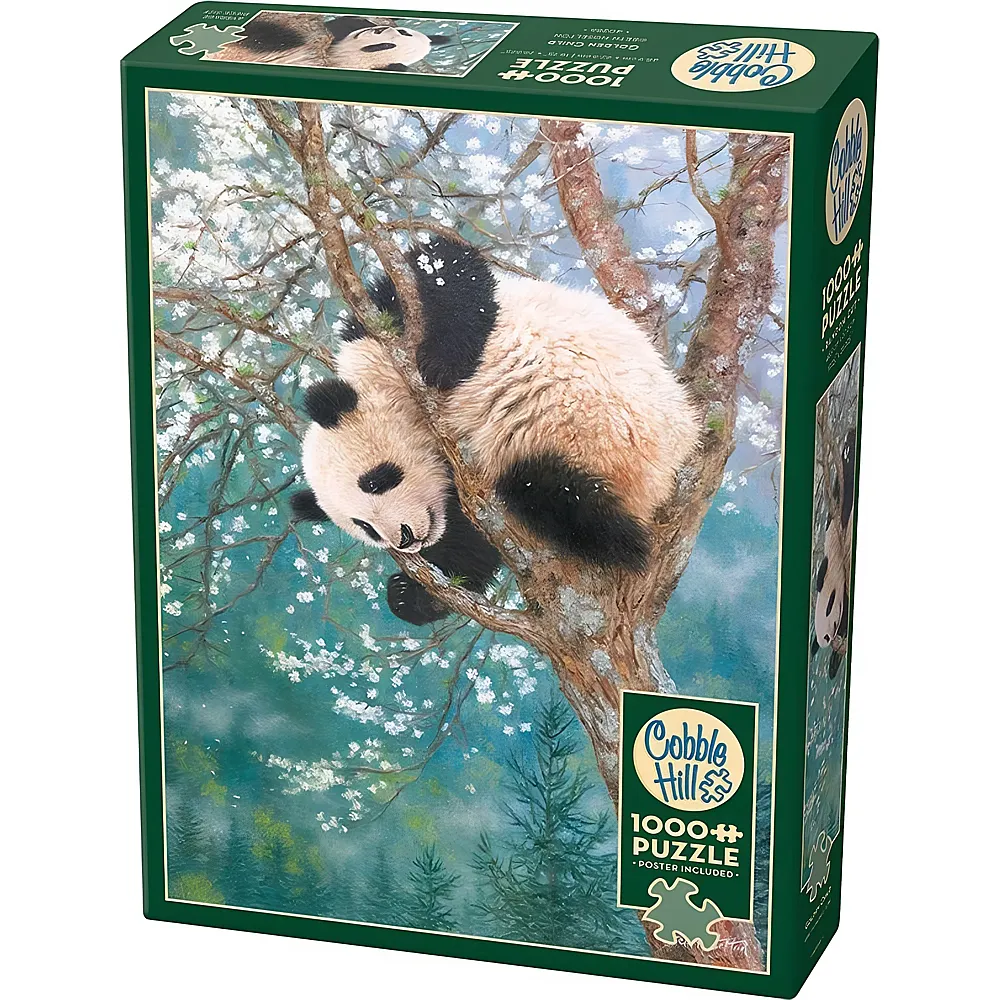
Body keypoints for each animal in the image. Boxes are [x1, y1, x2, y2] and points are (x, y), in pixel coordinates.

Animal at [291, 236, 700, 625]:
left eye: (375, 481)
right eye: (365, 528)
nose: (405, 539)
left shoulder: (381, 333)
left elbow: (443, 270)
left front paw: (441, 363)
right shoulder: (459, 493)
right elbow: (471, 544)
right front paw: (410, 597)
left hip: (623, 424)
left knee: (558, 497)